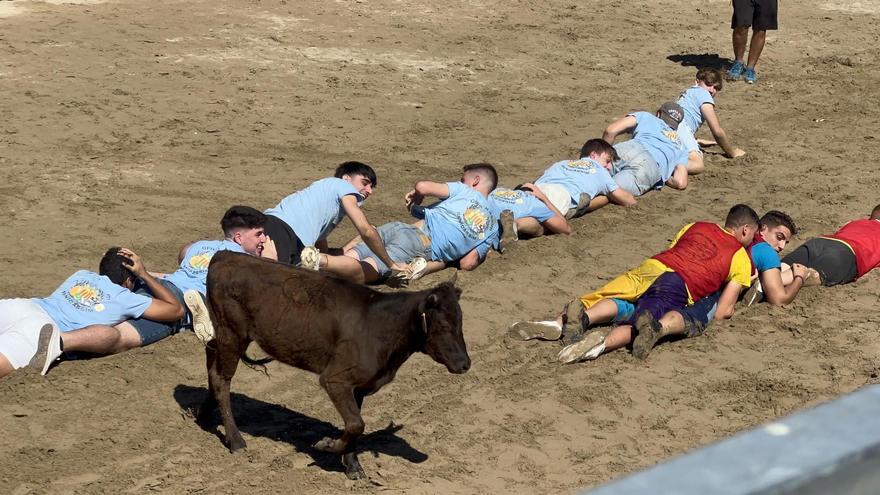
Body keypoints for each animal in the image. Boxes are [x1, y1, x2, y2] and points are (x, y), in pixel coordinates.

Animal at [197, 254, 470, 478]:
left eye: (461, 321)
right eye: (443, 325)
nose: (465, 364)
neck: (381, 324)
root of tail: (223, 256)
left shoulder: (358, 386)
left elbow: (355, 423)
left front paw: (353, 466)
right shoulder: (335, 379)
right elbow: (357, 424)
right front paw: (327, 445)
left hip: (224, 335)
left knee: (211, 361)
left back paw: (204, 416)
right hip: (233, 334)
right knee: (222, 380)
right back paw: (235, 440)